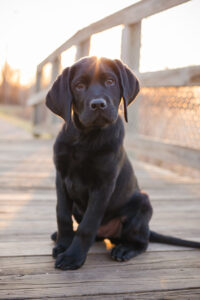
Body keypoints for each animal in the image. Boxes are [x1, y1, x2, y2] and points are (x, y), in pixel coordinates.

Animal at [46, 56, 200, 270]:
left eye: (110, 82)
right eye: (79, 86)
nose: (98, 104)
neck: (85, 137)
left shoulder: (103, 185)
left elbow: (88, 225)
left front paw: (73, 257)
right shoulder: (61, 177)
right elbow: (62, 214)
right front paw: (63, 244)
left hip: (143, 203)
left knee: (142, 242)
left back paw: (125, 249)